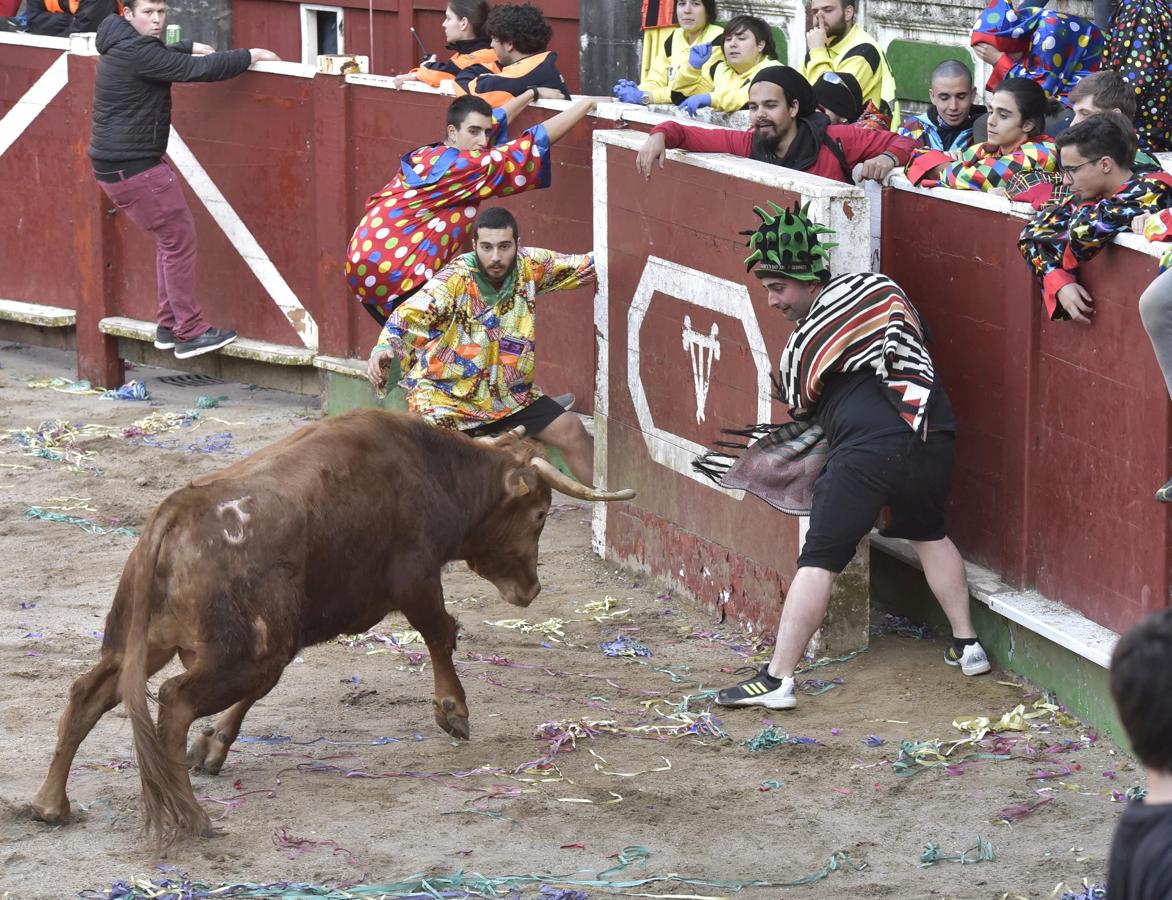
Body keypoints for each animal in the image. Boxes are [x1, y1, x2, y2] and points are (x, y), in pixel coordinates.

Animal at [27, 407, 632, 843]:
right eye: (540, 514)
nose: (530, 590)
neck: (433, 470)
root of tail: (171, 518)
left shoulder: (301, 625)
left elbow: (265, 691)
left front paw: (214, 747)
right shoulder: (415, 578)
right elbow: (441, 633)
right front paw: (452, 712)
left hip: (149, 642)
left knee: (90, 693)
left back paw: (50, 804)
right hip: (236, 653)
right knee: (173, 702)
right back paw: (194, 820)